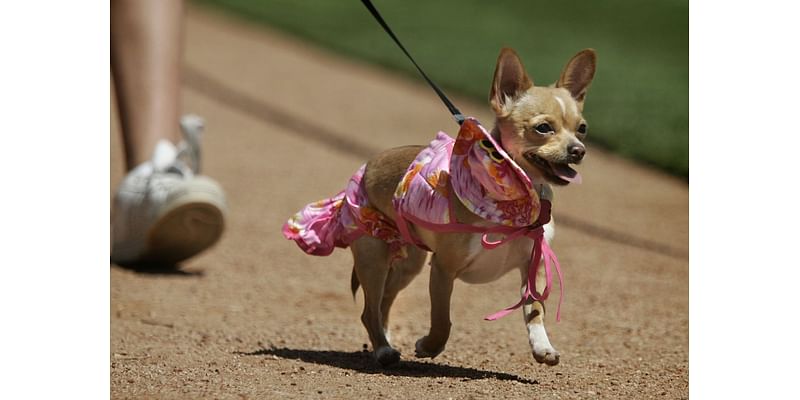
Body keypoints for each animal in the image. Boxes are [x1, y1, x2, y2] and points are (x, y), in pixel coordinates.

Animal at [348, 48, 592, 368]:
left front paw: (542, 347)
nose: (578, 150)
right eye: (543, 128)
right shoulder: (442, 269)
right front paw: (429, 346)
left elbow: (535, 312)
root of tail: (368, 166)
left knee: (384, 302)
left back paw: (386, 341)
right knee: (369, 309)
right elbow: (443, 321)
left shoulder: (533, 270)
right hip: (374, 256)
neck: (517, 197)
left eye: (582, 129)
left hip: (409, 263)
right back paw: (383, 350)